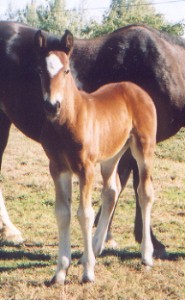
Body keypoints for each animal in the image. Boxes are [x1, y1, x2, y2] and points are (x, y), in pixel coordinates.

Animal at [34, 30, 156, 284]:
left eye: (66, 70)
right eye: (40, 71)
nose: (52, 106)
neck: (68, 120)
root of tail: (135, 89)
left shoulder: (85, 168)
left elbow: (84, 214)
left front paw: (88, 272)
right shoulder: (57, 167)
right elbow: (63, 213)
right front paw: (60, 271)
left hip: (143, 149)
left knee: (145, 193)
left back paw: (146, 256)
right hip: (111, 156)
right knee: (112, 190)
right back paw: (97, 247)